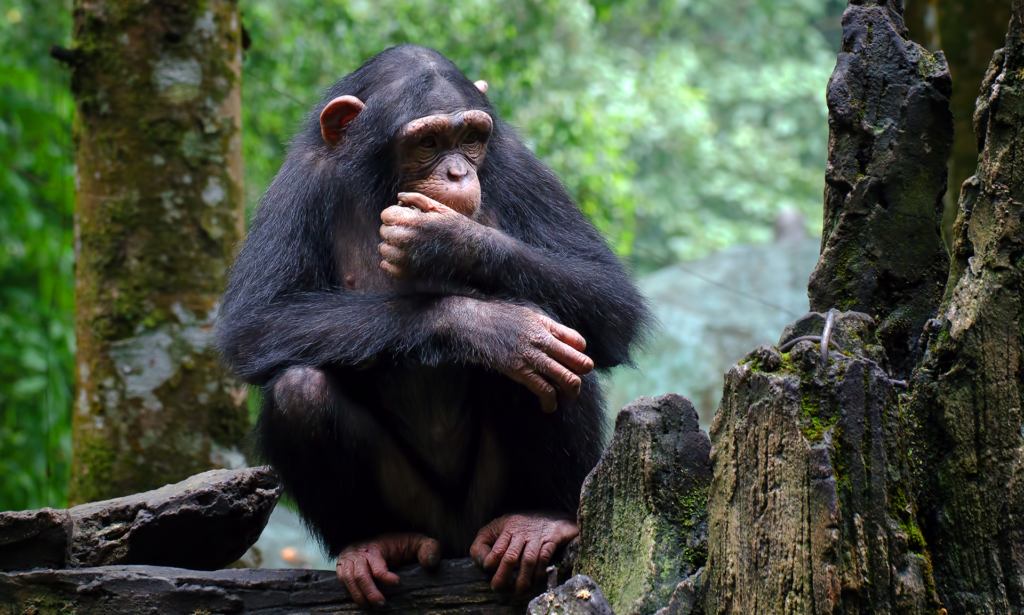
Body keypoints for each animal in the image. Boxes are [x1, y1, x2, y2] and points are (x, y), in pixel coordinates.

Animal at [216, 44, 648, 607]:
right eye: (427, 142)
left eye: (471, 139)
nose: (459, 173)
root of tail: (457, 542)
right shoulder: (298, 183)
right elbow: (257, 321)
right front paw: (494, 328)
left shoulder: (518, 165)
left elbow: (610, 299)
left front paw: (446, 241)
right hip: (420, 512)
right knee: (299, 388)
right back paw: (375, 541)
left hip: (489, 505)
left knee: (559, 348)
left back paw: (540, 519)